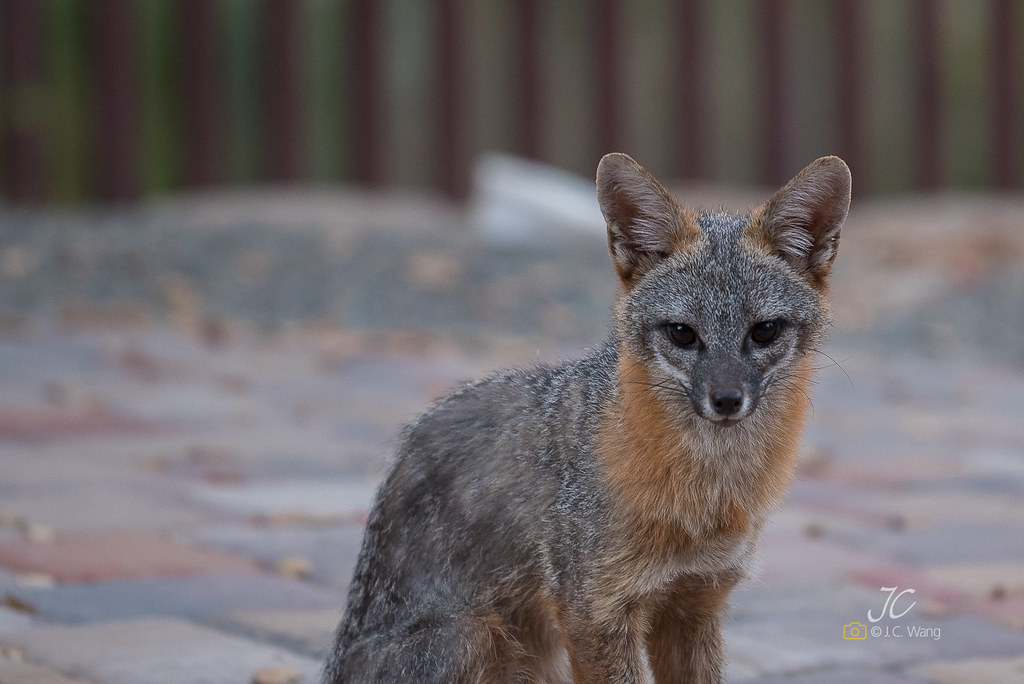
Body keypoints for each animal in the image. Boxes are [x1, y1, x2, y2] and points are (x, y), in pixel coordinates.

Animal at [324, 153, 851, 683]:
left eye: (764, 331)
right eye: (682, 334)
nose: (726, 400)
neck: (707, 493)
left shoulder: (696, 601)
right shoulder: (593, 608)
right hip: (474, 635)